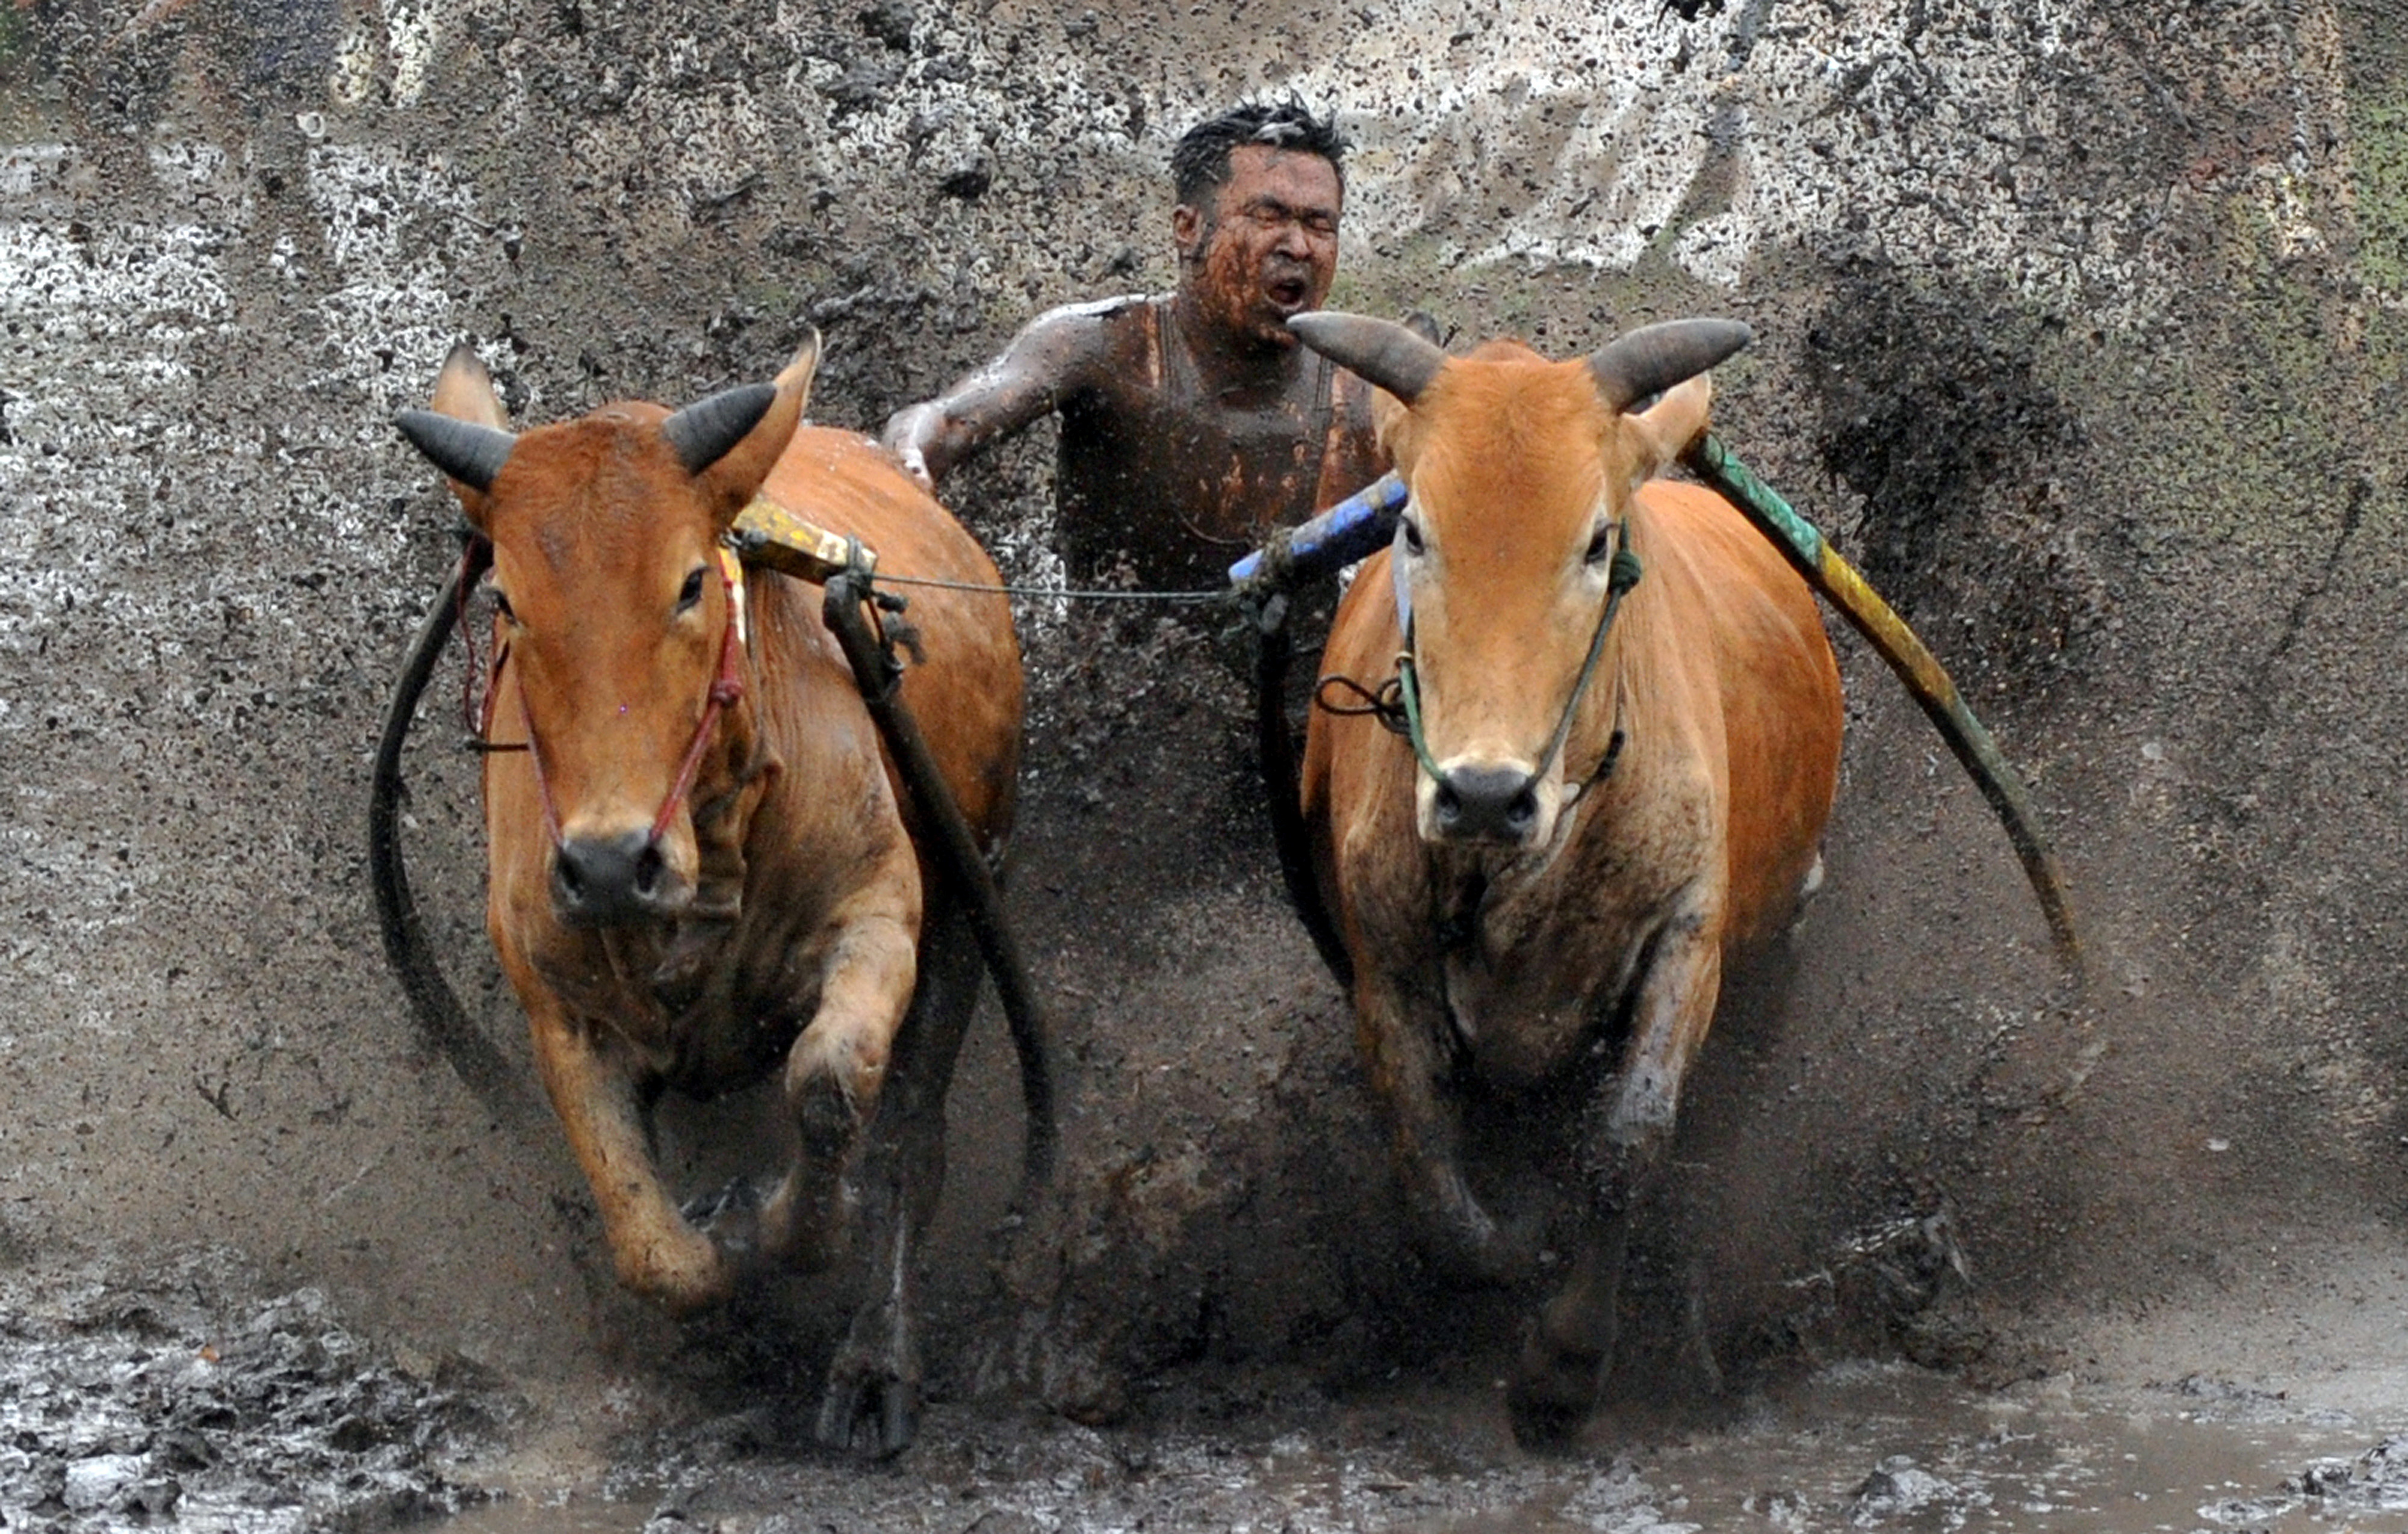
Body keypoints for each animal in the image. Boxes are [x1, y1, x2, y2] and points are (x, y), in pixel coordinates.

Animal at [393, 337, 1026, 1464]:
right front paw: (718, 1240)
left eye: (690, 582)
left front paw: (785, 1220)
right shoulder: (559, 1001)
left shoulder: (880, 912)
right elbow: (652, 1246)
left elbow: (831, 1083)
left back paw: (876, 1362)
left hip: (972, 885)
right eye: (507, 600)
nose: (609, 864)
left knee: (914, 1133)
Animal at [1300, 313, 1840, 1444]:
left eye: (1595, 542)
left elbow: (1626, 1144)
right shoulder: (1385, 964)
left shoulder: (1688, 936)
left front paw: (1565, 1362)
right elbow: (1435, 1179)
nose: (1483, 793)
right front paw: (1514, 1249)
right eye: (1413, 532)